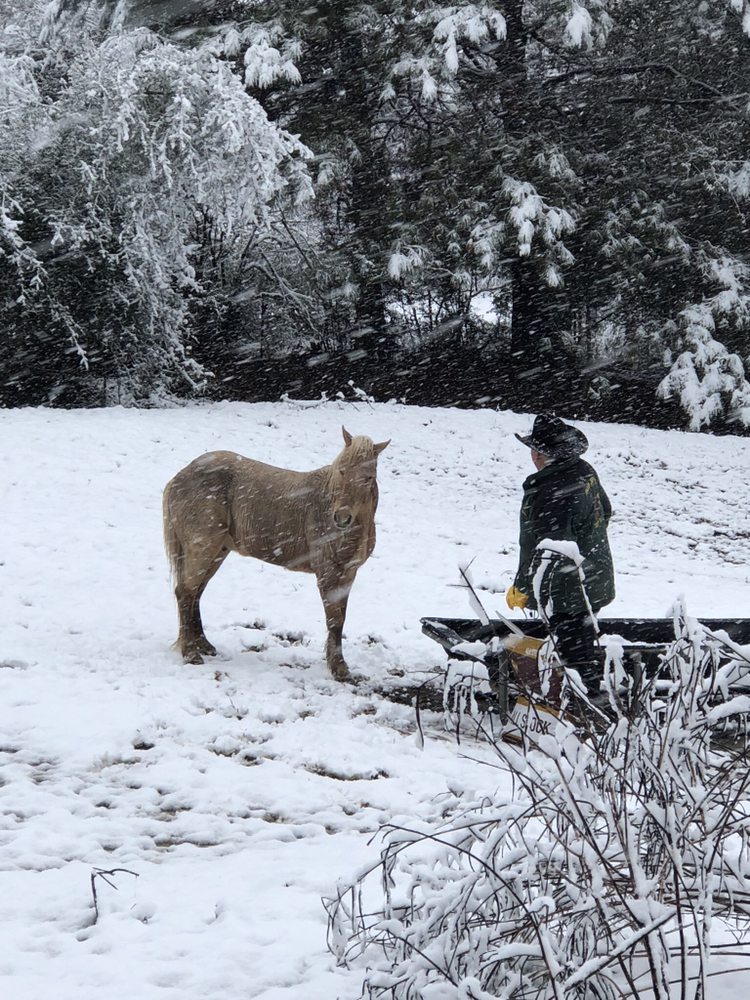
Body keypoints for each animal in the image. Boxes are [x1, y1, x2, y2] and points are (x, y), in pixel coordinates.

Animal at [162, 427, 389, 680]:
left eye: (368, 477)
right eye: (342, 470)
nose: (341, 518)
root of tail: (179, 477)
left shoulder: (348, 574)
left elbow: (341, 620)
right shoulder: (327, 572)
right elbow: (334, 619)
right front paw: (338, 668)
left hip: (217, 552)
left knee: (196, 593)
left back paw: (204, 645)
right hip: (202, 548)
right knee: (185, 593)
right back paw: (191, 653)